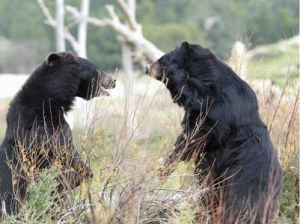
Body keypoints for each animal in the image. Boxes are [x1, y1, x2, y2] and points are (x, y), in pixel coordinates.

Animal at [0, 52, 115, 217]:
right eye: (98, 70)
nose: (114, 80)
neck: (52, 99)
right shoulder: (46, 127)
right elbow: (67, 151)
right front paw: (77, 175)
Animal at [145, 42, 284, 224]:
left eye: (162, 60)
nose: (147, 68)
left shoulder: (217, 108)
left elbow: (198, 133)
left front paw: (167, 165)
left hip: (242, 186)